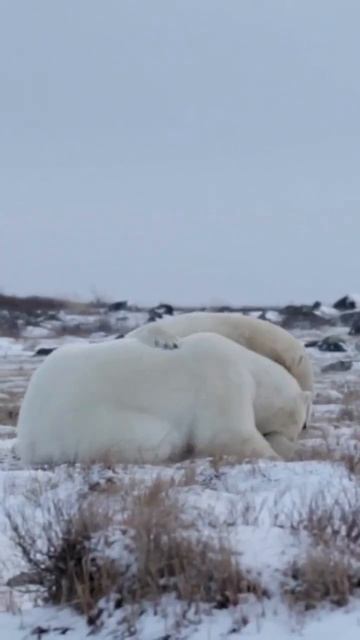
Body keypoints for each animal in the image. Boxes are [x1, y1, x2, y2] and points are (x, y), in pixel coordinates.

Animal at [15, 330, 310, 464]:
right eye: (302, 424)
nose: (296, 438)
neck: (250, 367)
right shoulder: (222, 380)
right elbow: (225, 434)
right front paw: (276, 455)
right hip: (90, 426)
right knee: (160, 438)